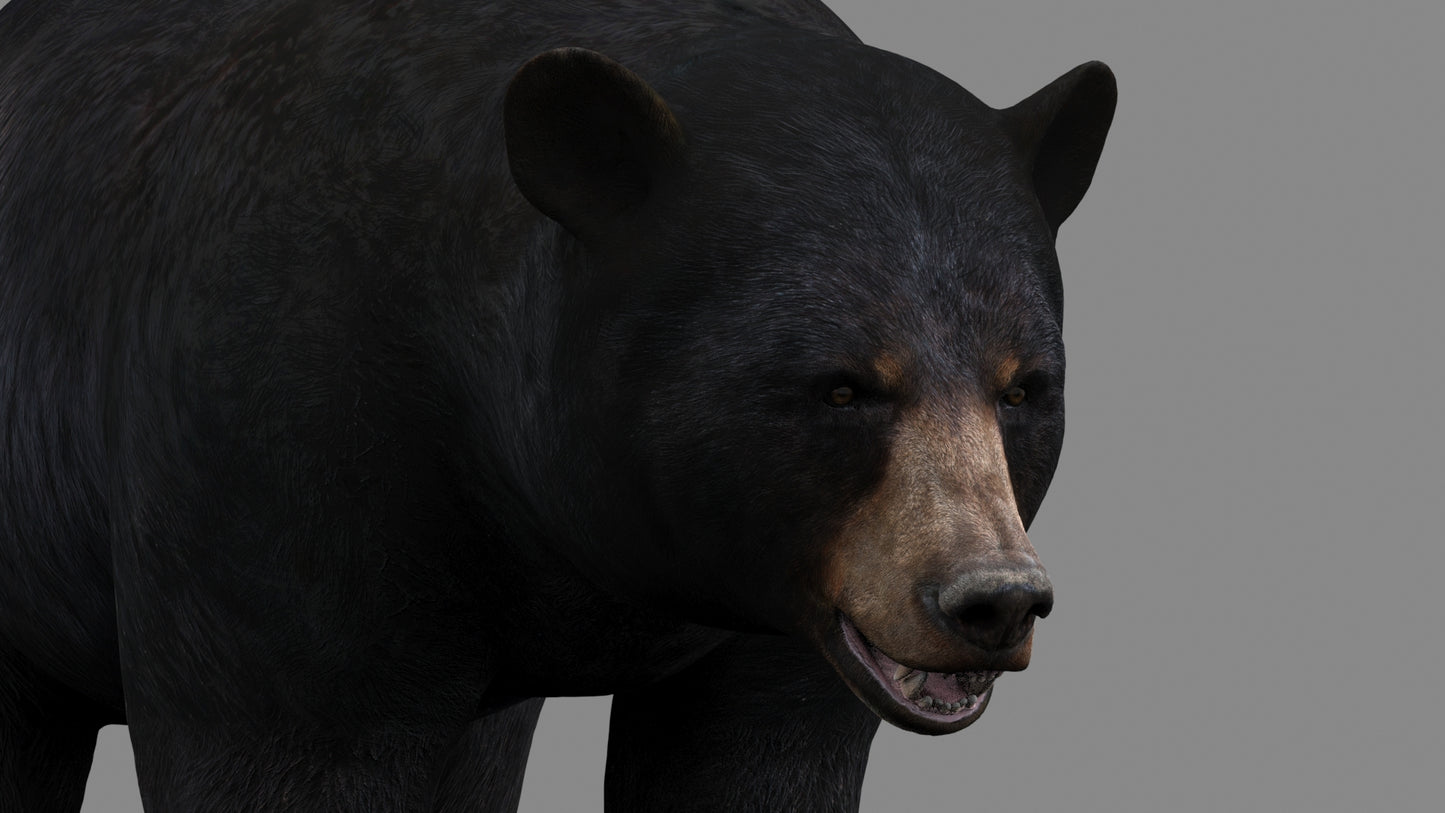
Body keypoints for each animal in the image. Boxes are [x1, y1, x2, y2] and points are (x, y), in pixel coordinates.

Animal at [0, 0, 1115, 810]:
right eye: (841, 385)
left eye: (1022, 387)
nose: (989, 599)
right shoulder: (274, 432)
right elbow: (288, 747)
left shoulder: (794, 596)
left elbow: (761, 759)